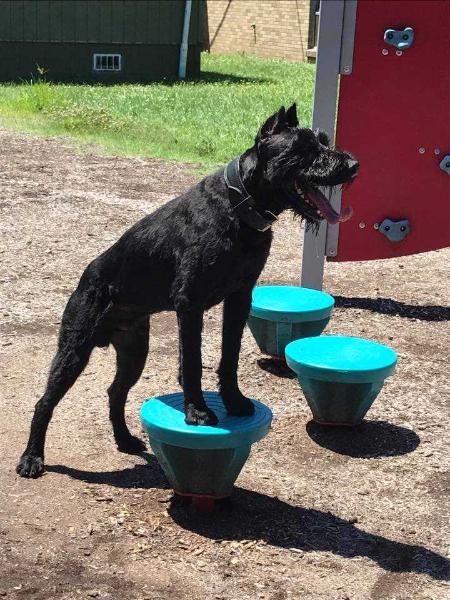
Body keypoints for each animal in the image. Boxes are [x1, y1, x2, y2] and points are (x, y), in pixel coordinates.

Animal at [15, 104, 358, 478]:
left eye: (323, 141)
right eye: (304, 148)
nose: (352, 165)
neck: (237, 207)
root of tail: (85, 278)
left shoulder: (239, 298)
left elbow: (229, 357)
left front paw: (234, 401)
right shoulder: (190, 304)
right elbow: (192, 362)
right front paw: (198, 412)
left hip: (134, 353)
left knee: (115, 392)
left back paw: (124, 439)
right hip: (74, 349)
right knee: (44, 402)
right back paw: (31, 458)